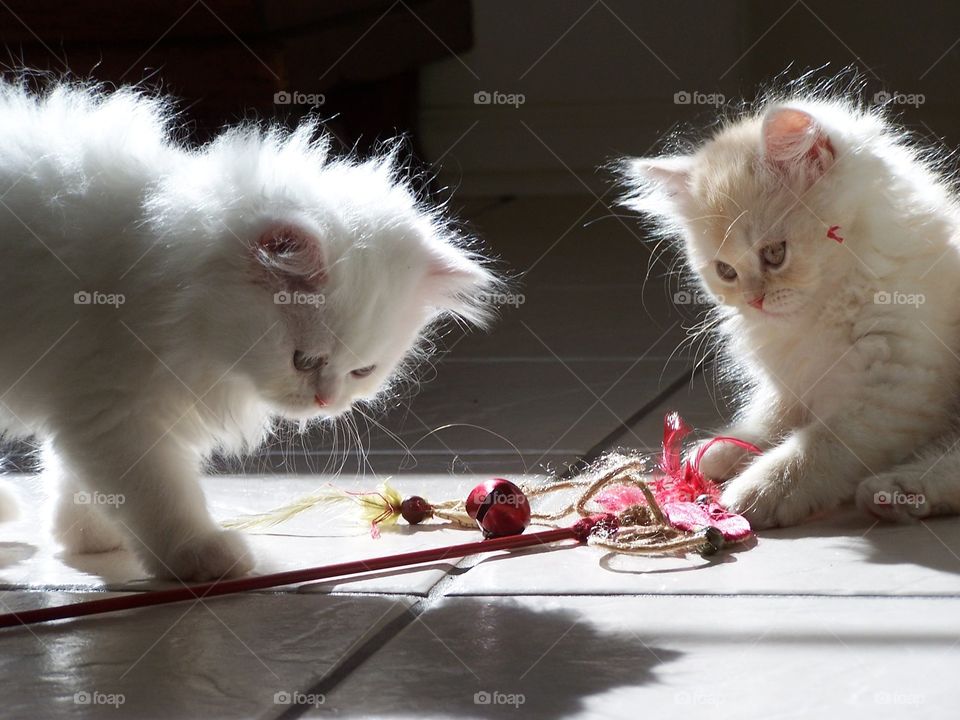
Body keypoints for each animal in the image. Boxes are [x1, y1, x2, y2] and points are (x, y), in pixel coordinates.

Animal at [0, 83, 496, 580]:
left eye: (363, 371)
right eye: (303, 360)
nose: (326, 401)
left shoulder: (84, 397)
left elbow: (79, 476)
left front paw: (87, 535)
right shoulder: (113, 402)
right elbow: (155, 491)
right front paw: (198, 553)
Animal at [628, 93, 960, 528]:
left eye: (774, 254)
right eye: (726, 272)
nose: (754, 300)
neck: (826, 308)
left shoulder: (896, 390)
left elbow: (817, 445)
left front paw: (761, 488)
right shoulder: (794, 379)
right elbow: (772, 417)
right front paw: (722, 449)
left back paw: (894, 492)